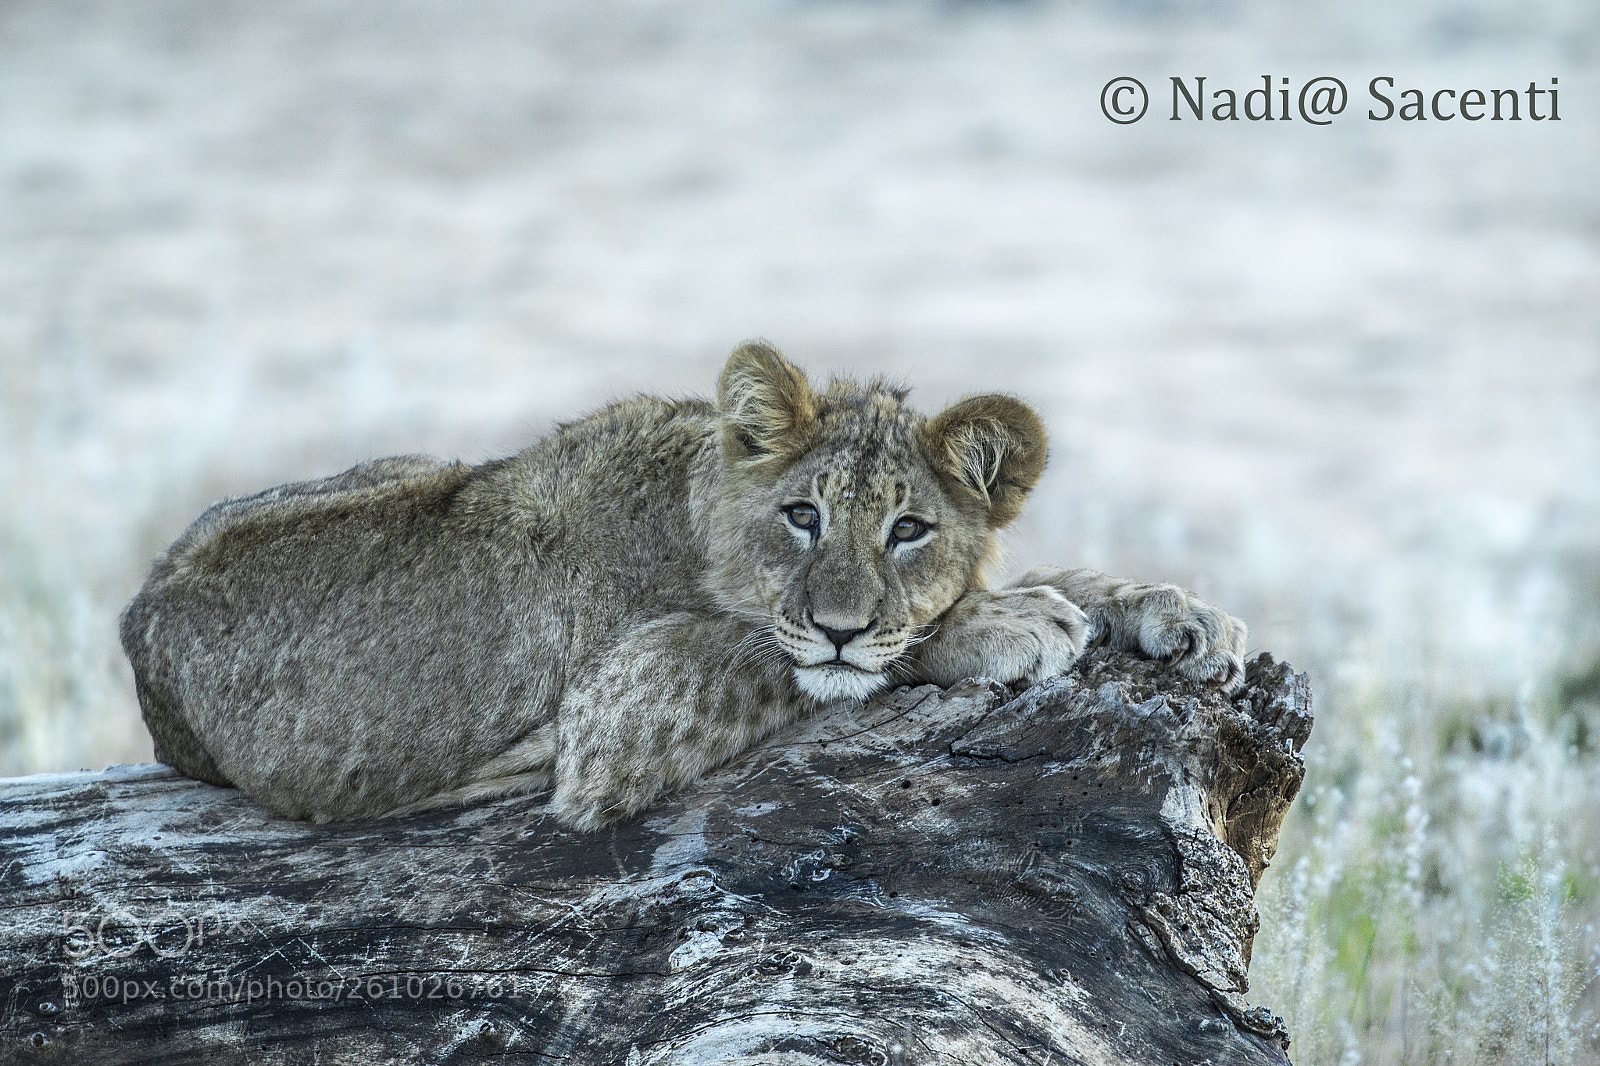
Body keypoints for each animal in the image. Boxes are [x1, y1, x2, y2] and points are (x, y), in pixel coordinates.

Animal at [120, 342, 1246, 831]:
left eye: (908, 528)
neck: (694, 512)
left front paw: (1178, 612)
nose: (841, 623)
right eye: (803, 516)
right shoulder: (615, 718)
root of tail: (137, 608)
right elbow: (783, 650)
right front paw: (1005, 623)